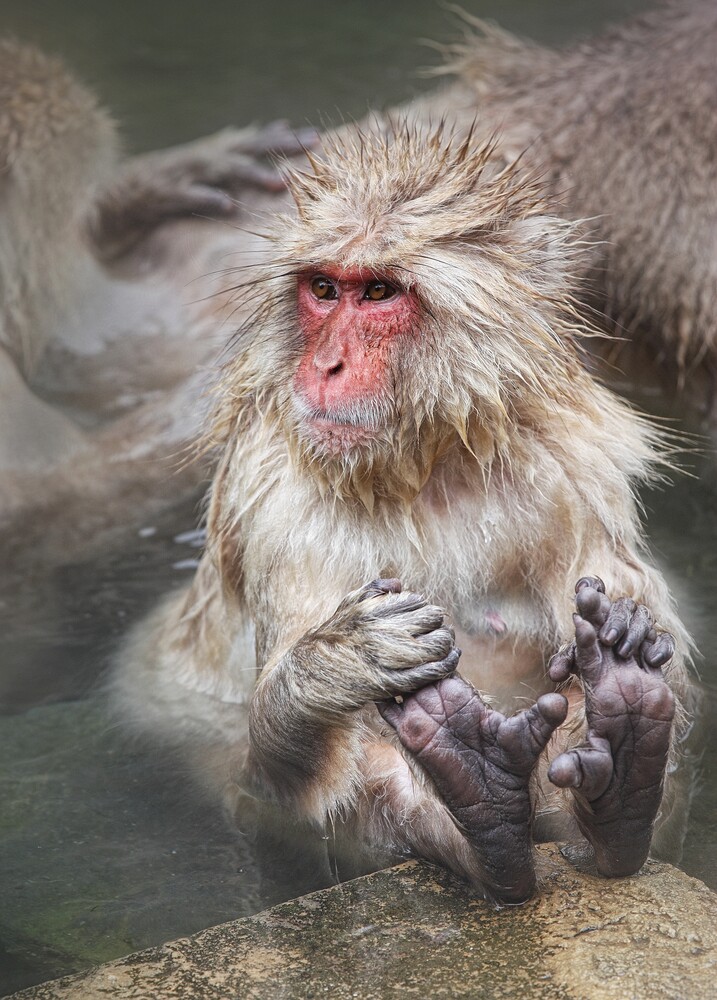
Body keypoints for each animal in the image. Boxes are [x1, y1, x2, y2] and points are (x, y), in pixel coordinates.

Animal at [114, 123, 696, 903]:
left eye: (379, 292)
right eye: (322, 289)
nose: (325, 365)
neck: (422, 468)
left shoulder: (569, 475)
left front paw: (628, 639)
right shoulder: (275, 502)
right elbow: (273, 773)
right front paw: (343, 658)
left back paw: (618, 777)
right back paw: (487, 823)